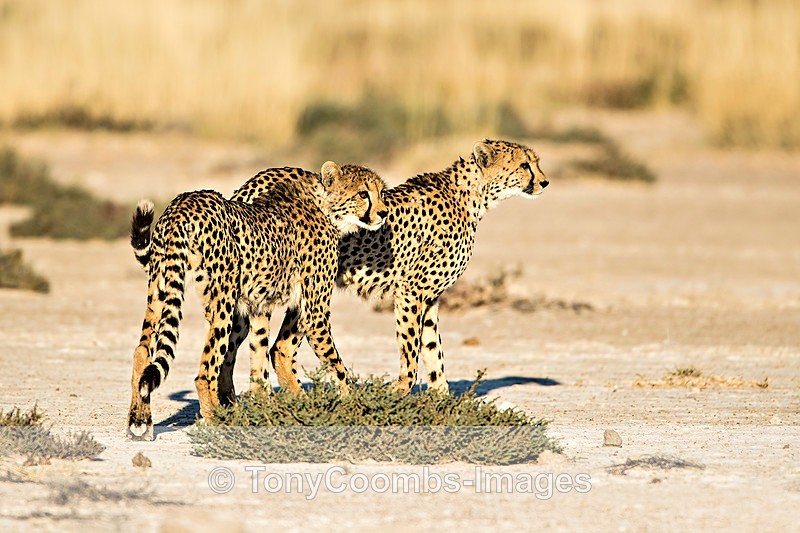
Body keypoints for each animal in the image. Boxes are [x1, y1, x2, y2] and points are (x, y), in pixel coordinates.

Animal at [126, 161, 387, 440]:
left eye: (381, 192)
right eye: (363, 193)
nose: (383, 213)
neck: (323, 204)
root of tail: (184, 202)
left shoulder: (262, 304)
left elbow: (261, 359)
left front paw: (274, 408)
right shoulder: (314, 312)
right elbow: (336, 366)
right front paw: (355, 409)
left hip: (161, 289)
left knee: (143, 352)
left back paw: (140, 420)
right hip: (223, 303)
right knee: (205, 372)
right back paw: (219, 422)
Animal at [230, 139, 548, 396]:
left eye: (536, 162)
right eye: (524, 165)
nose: (544, 182)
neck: (472, 198)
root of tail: (255, 181)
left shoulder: (430, 298)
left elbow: (433, 353)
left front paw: (441, 401)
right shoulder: (411, 292)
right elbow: (411, 351)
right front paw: (398, 393)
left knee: (275, 348)